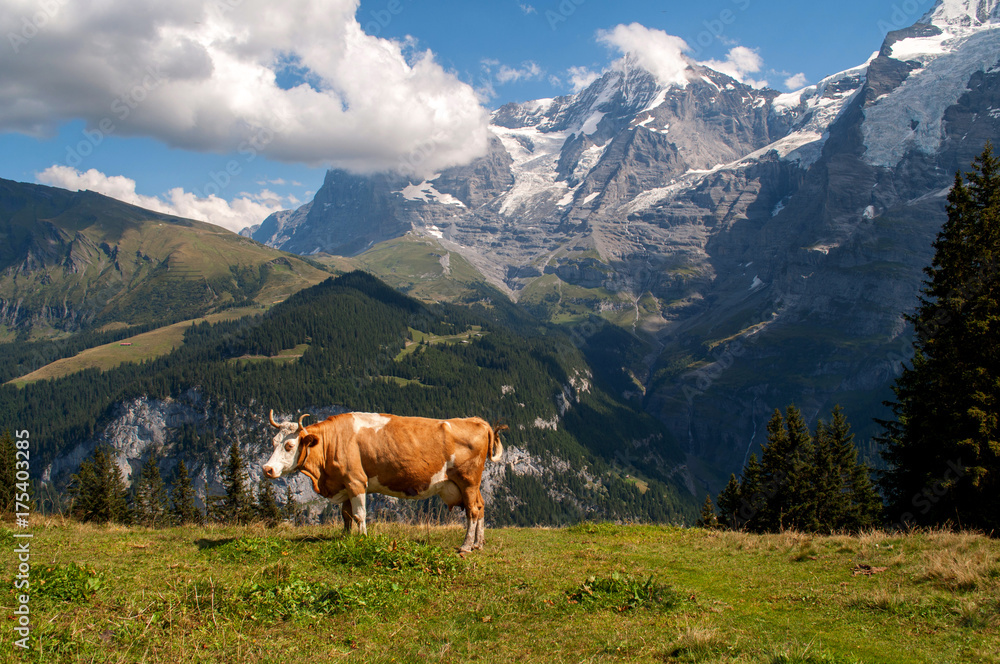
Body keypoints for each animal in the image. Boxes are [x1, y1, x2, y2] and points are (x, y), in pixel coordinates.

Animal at [262, 408, 504, 552]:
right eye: (273, 442)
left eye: (289, 445)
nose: (267, 469)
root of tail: (477, 421)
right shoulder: (345, 485)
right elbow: (346, 515)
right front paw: (345, 537)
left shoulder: (356, 481)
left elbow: (359, 515)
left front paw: (362, 539)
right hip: (471, 485)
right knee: (481, 506)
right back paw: (478, 544)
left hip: (468, 480)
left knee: (473, 511)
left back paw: (466, 546)